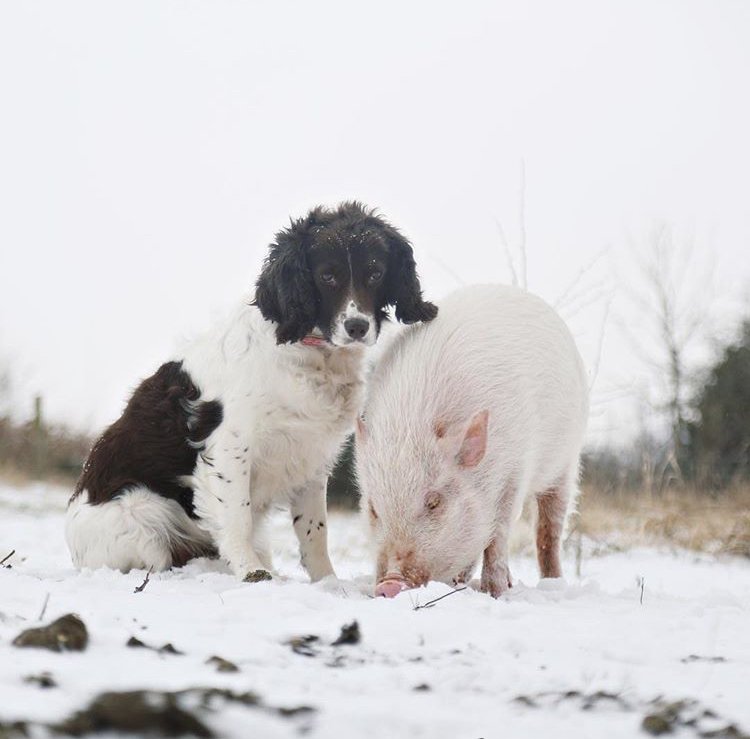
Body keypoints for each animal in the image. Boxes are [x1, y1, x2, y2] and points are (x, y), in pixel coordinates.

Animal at [68, 204, 440, 584]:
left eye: (375, 273)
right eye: (327, 276)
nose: (357, 327)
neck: (310, 356)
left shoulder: (313, 454)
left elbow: (315, 530)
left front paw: (328, 584)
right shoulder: (230, 446)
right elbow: (237, 517)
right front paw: (252, 572)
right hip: (142, 513)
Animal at [356, 286, 592, 600]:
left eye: (434, 502)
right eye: (373, 508)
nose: (390, 584)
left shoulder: (515, 472)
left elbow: (498, 536)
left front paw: (496, 592)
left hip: (567, 461)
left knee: (549, 529)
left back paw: (552, 583)